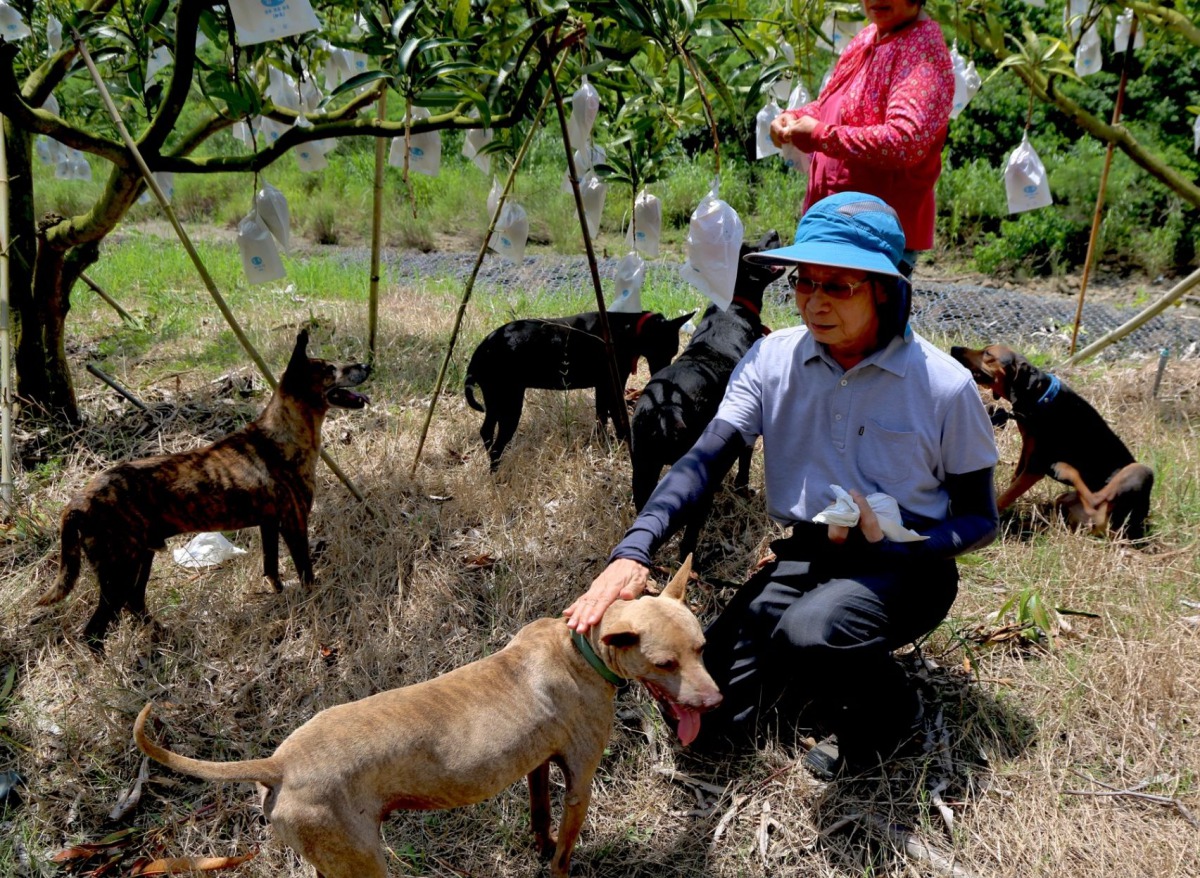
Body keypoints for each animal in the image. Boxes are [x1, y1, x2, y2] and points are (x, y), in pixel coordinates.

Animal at [37, 328, 367, 642]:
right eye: (330, 369)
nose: (367, 364)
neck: (282, 433)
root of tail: (78, 501)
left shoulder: (270, 524)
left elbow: (271, 568)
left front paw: (280, 596)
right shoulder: (294, 523)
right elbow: (306, 571)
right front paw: (315, 600)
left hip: (140, 559)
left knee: (136, 603)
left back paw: (164, 636)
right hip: (119, 570)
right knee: (94, 633)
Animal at [465, 307, 696, 465]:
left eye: (673, 351)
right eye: (663, 350)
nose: (664, 373)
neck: (628, 330)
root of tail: (484, 345)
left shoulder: (602, 387)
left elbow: (601, 417)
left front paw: (603, 444)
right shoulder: (613, 386)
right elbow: (618, 419)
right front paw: (624, 443)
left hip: (495, 400)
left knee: (486, 432)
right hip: (510, 404)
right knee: (497, 446)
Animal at [628, 231, 787, 561]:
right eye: (753, 248)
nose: (774, 233)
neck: (732, 305)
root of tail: (666, 409)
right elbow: (744, 463)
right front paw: (742, 489)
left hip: (643, 470)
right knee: (689, 536)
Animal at [945, 345, 1152, 537]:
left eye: (988, 353)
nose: (954, 348)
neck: (1040, 396)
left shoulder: (1036, 466)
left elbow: (1006, 496)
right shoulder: (1028, 447)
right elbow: (1014, 481)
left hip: (1140, 471)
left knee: (1094, 501)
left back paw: (1064, 470)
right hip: (1066, 502)